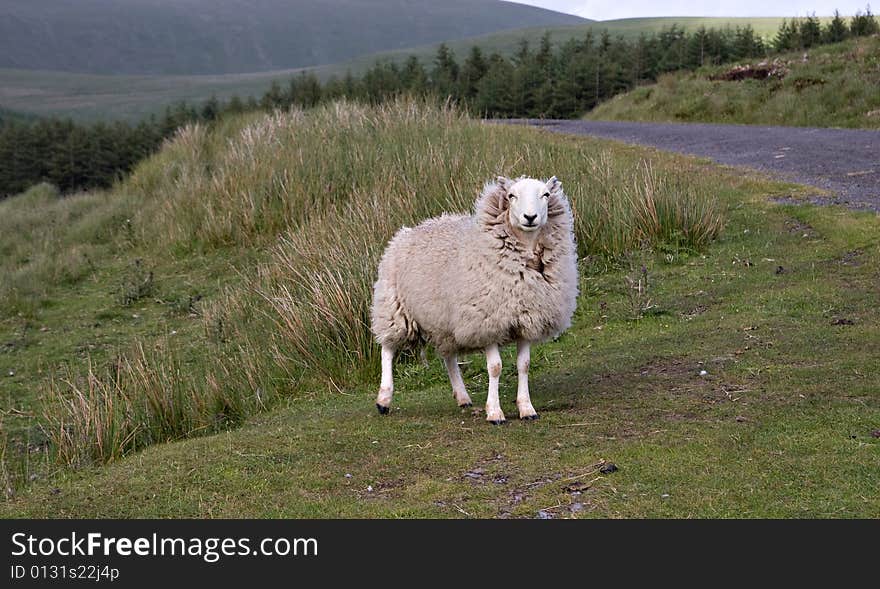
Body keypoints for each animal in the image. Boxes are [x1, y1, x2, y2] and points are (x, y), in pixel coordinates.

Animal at [370, 175, 576, 422]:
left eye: (545, 194)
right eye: (511, 196)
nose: (530, 217)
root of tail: (407, 231)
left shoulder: (526, 317)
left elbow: (524, 365)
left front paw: (527, 408)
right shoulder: (486, 321)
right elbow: (495, 367)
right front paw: (495, 412)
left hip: (444, 320)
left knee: (448, 357)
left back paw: (463, 397)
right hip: (394, 307)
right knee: (387, 350)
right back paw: (383, 399)